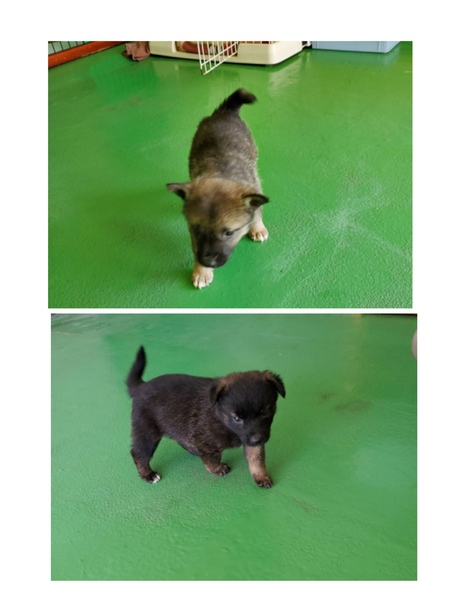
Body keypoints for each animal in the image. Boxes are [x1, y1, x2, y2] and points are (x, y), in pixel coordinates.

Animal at [126, 346, 285, 488]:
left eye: (264, 412)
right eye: (237, 419)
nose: (257, 440)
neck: (221, 418)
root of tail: (140, 387)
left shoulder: (251, 437)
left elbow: (256, 458)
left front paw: (261, 476)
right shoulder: (206, 440)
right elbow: (212, 457)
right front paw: (217, 469)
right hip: (147, 432)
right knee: (138, 453)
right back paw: (147, 474)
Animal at [167, 88, 269, 289]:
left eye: (229, 233)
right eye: (196, 229)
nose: (208, 262)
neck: (222, 172)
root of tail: (224, 112)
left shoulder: (255, 187)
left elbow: (257, 212)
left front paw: (257, 228)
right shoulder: (194, 236)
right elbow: (195, 248)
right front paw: (201, 271)